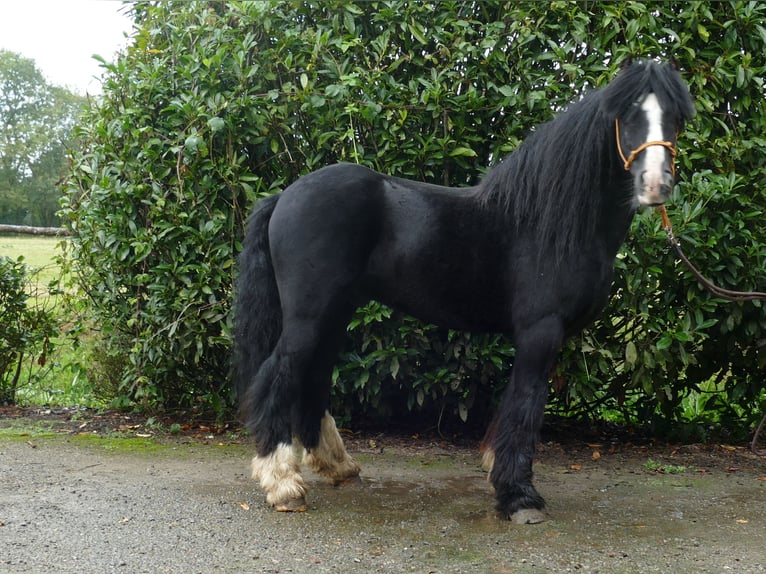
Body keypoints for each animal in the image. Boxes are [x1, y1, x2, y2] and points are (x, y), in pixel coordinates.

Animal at [234, 60, 696, 524]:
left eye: (675, 116)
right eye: (629, 114)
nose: (656, 184)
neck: (548, 221)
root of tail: (284, 196)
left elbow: (516, 405)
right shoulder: (540, 331)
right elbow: (527, 404)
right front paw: (519, 497)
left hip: (335, 312)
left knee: (312, 379)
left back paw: (337, 467)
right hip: (309, 316)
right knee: (277, 376)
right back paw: (283, 484)